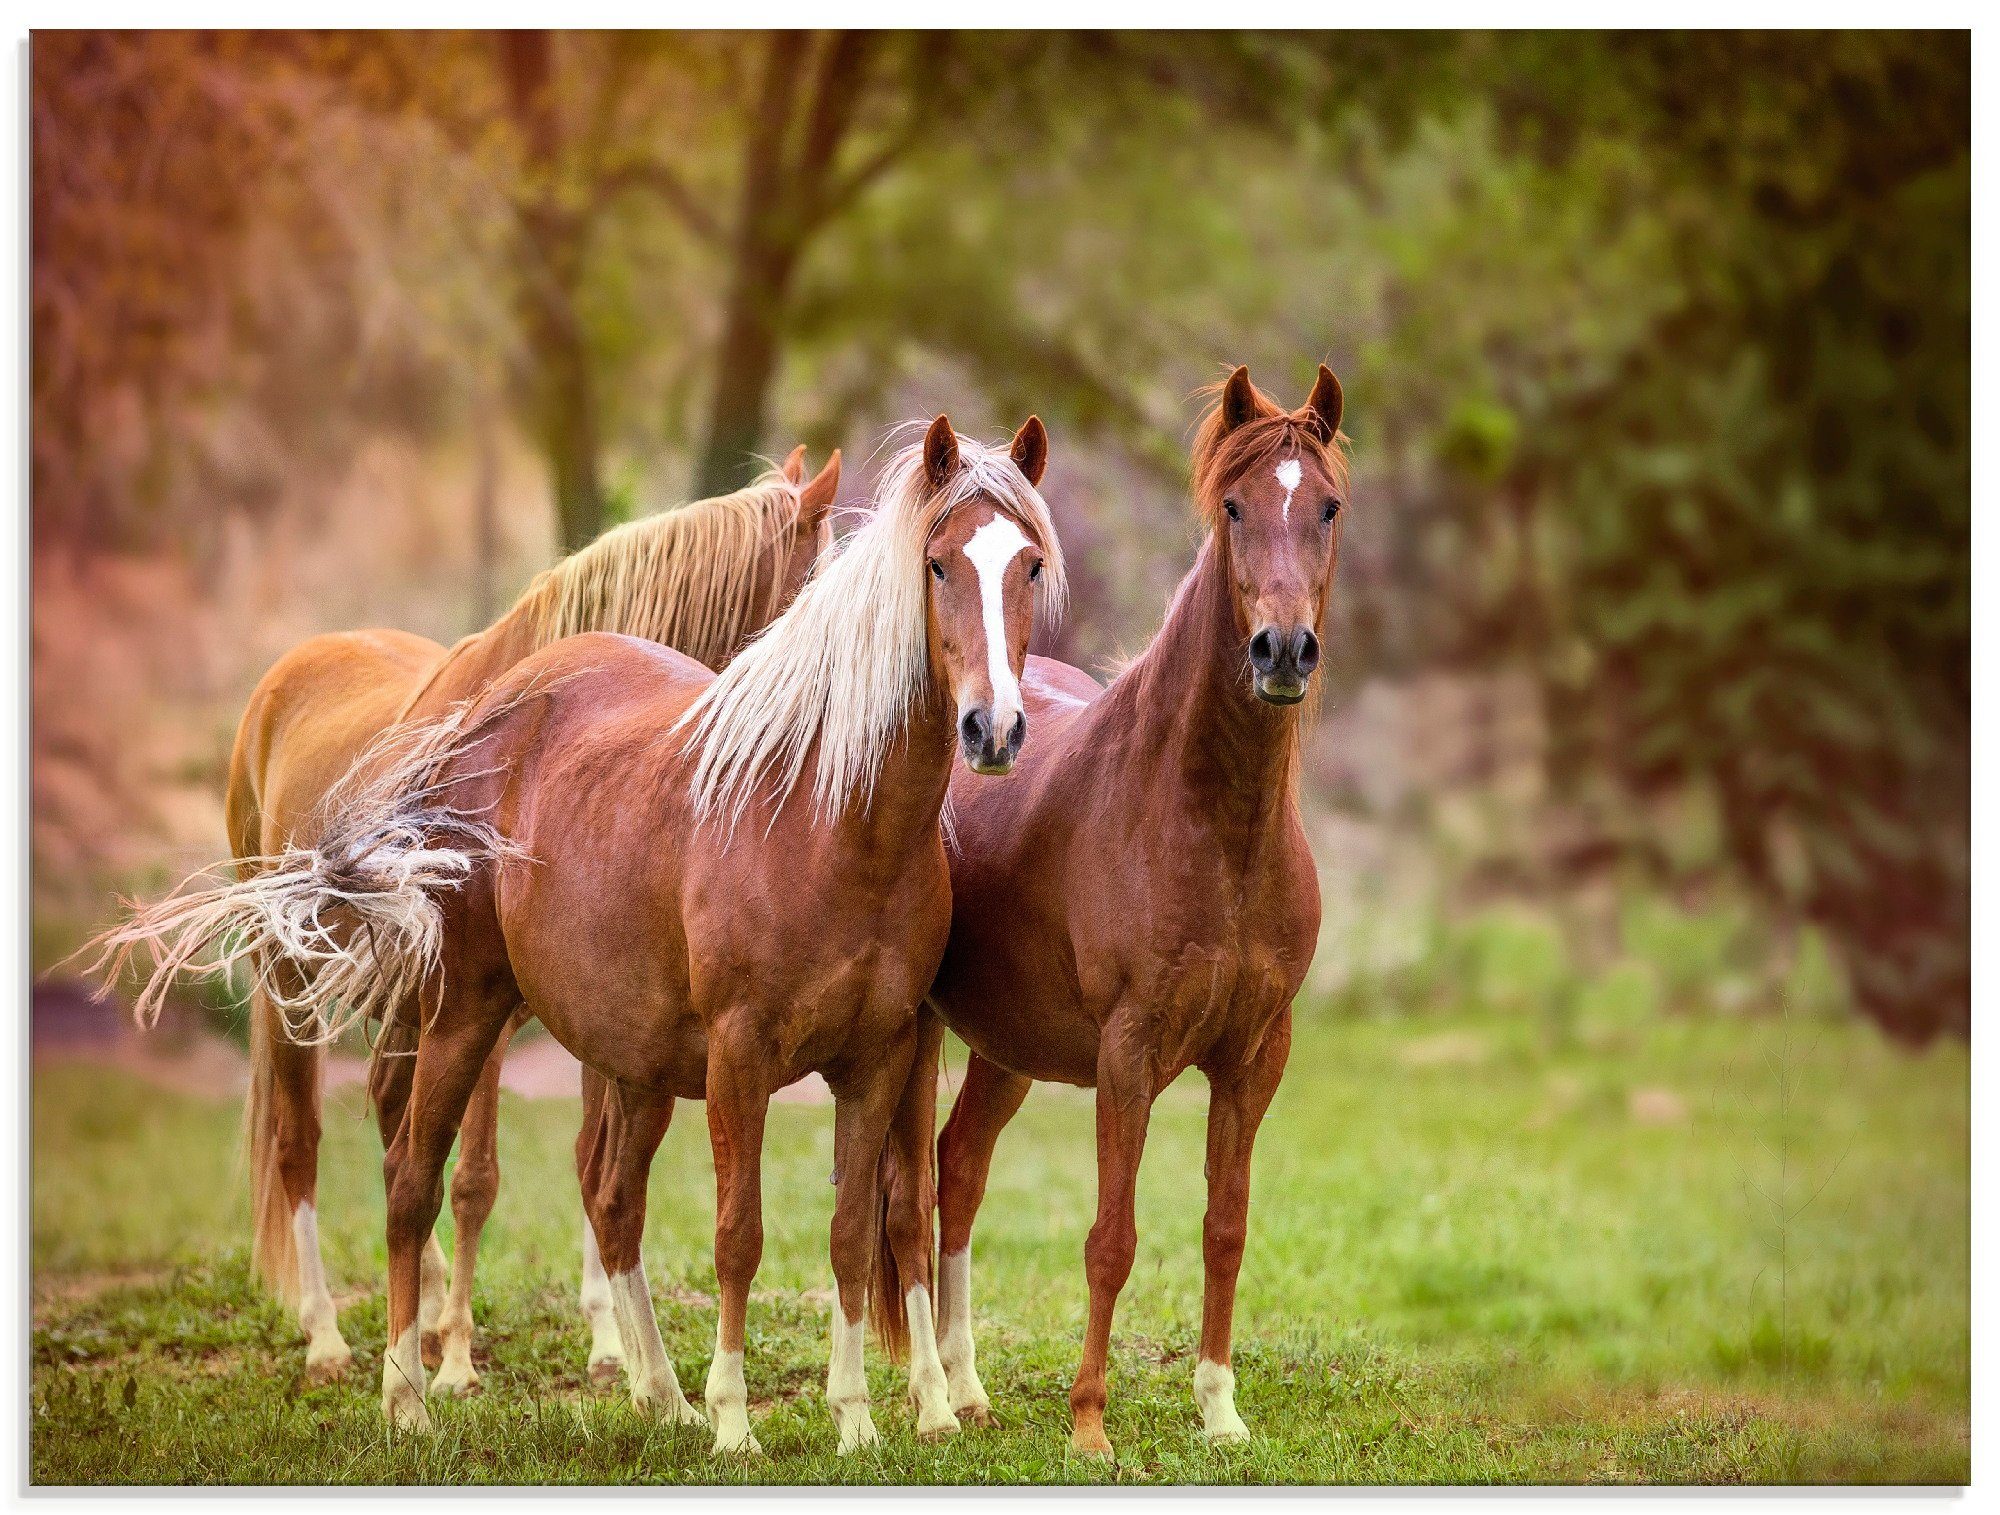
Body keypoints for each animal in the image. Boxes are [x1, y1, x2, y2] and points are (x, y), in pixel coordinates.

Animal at [84, 447, 836, 1391]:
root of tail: (286, 675)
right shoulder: (485, 1003)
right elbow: (478, 1175)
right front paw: (454, 1361)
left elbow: (579, 1163)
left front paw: (607, 1349)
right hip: (291, 979)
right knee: (302, 1141)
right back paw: (331, 1336)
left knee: (389, 1117)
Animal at [876, 365, 1344, 1463]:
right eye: (1232, 507)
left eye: (1328, 507)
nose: (1282, 650)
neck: (1211, 826)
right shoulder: (1128, 1055)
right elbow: (1111, 1238)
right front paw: (1089, 1425)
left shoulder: (1255, 1054)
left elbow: (1225, 1228)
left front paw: (1219, 1409)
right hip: (917, 1037)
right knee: (910, 1199)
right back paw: (932, 1400)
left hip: (1007, 1047)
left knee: (959, 1169)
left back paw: (969, 1390)